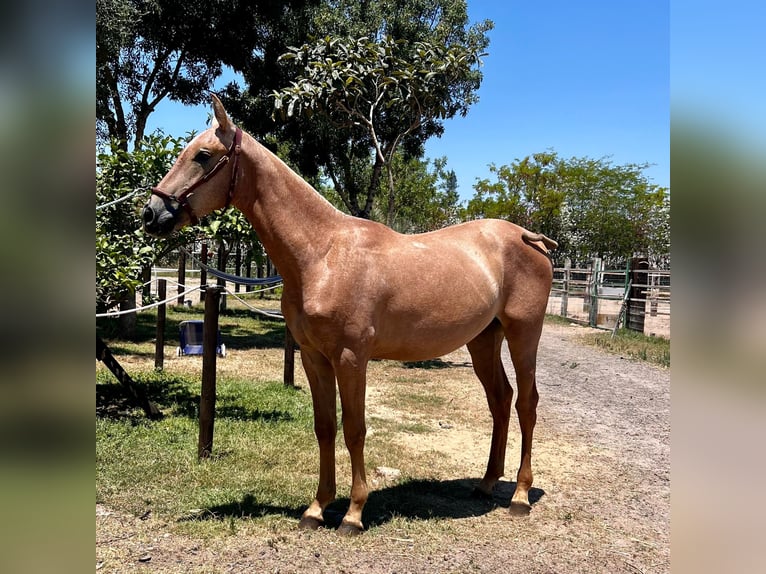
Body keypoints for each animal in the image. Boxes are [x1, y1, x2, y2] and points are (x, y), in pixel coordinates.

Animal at [142, 94, 560, 536]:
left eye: (203, 156)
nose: (151, 213)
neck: (323, 253)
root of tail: (529, 238)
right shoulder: (313, 357)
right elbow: (325, 428)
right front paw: (317, 507)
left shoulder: (351, 357)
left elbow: (355, 430)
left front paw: (354, 513)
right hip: (484, 339)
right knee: (500, 400)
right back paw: (486, 483)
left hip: (523, 334)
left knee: (526, 403)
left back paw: (519, 496)